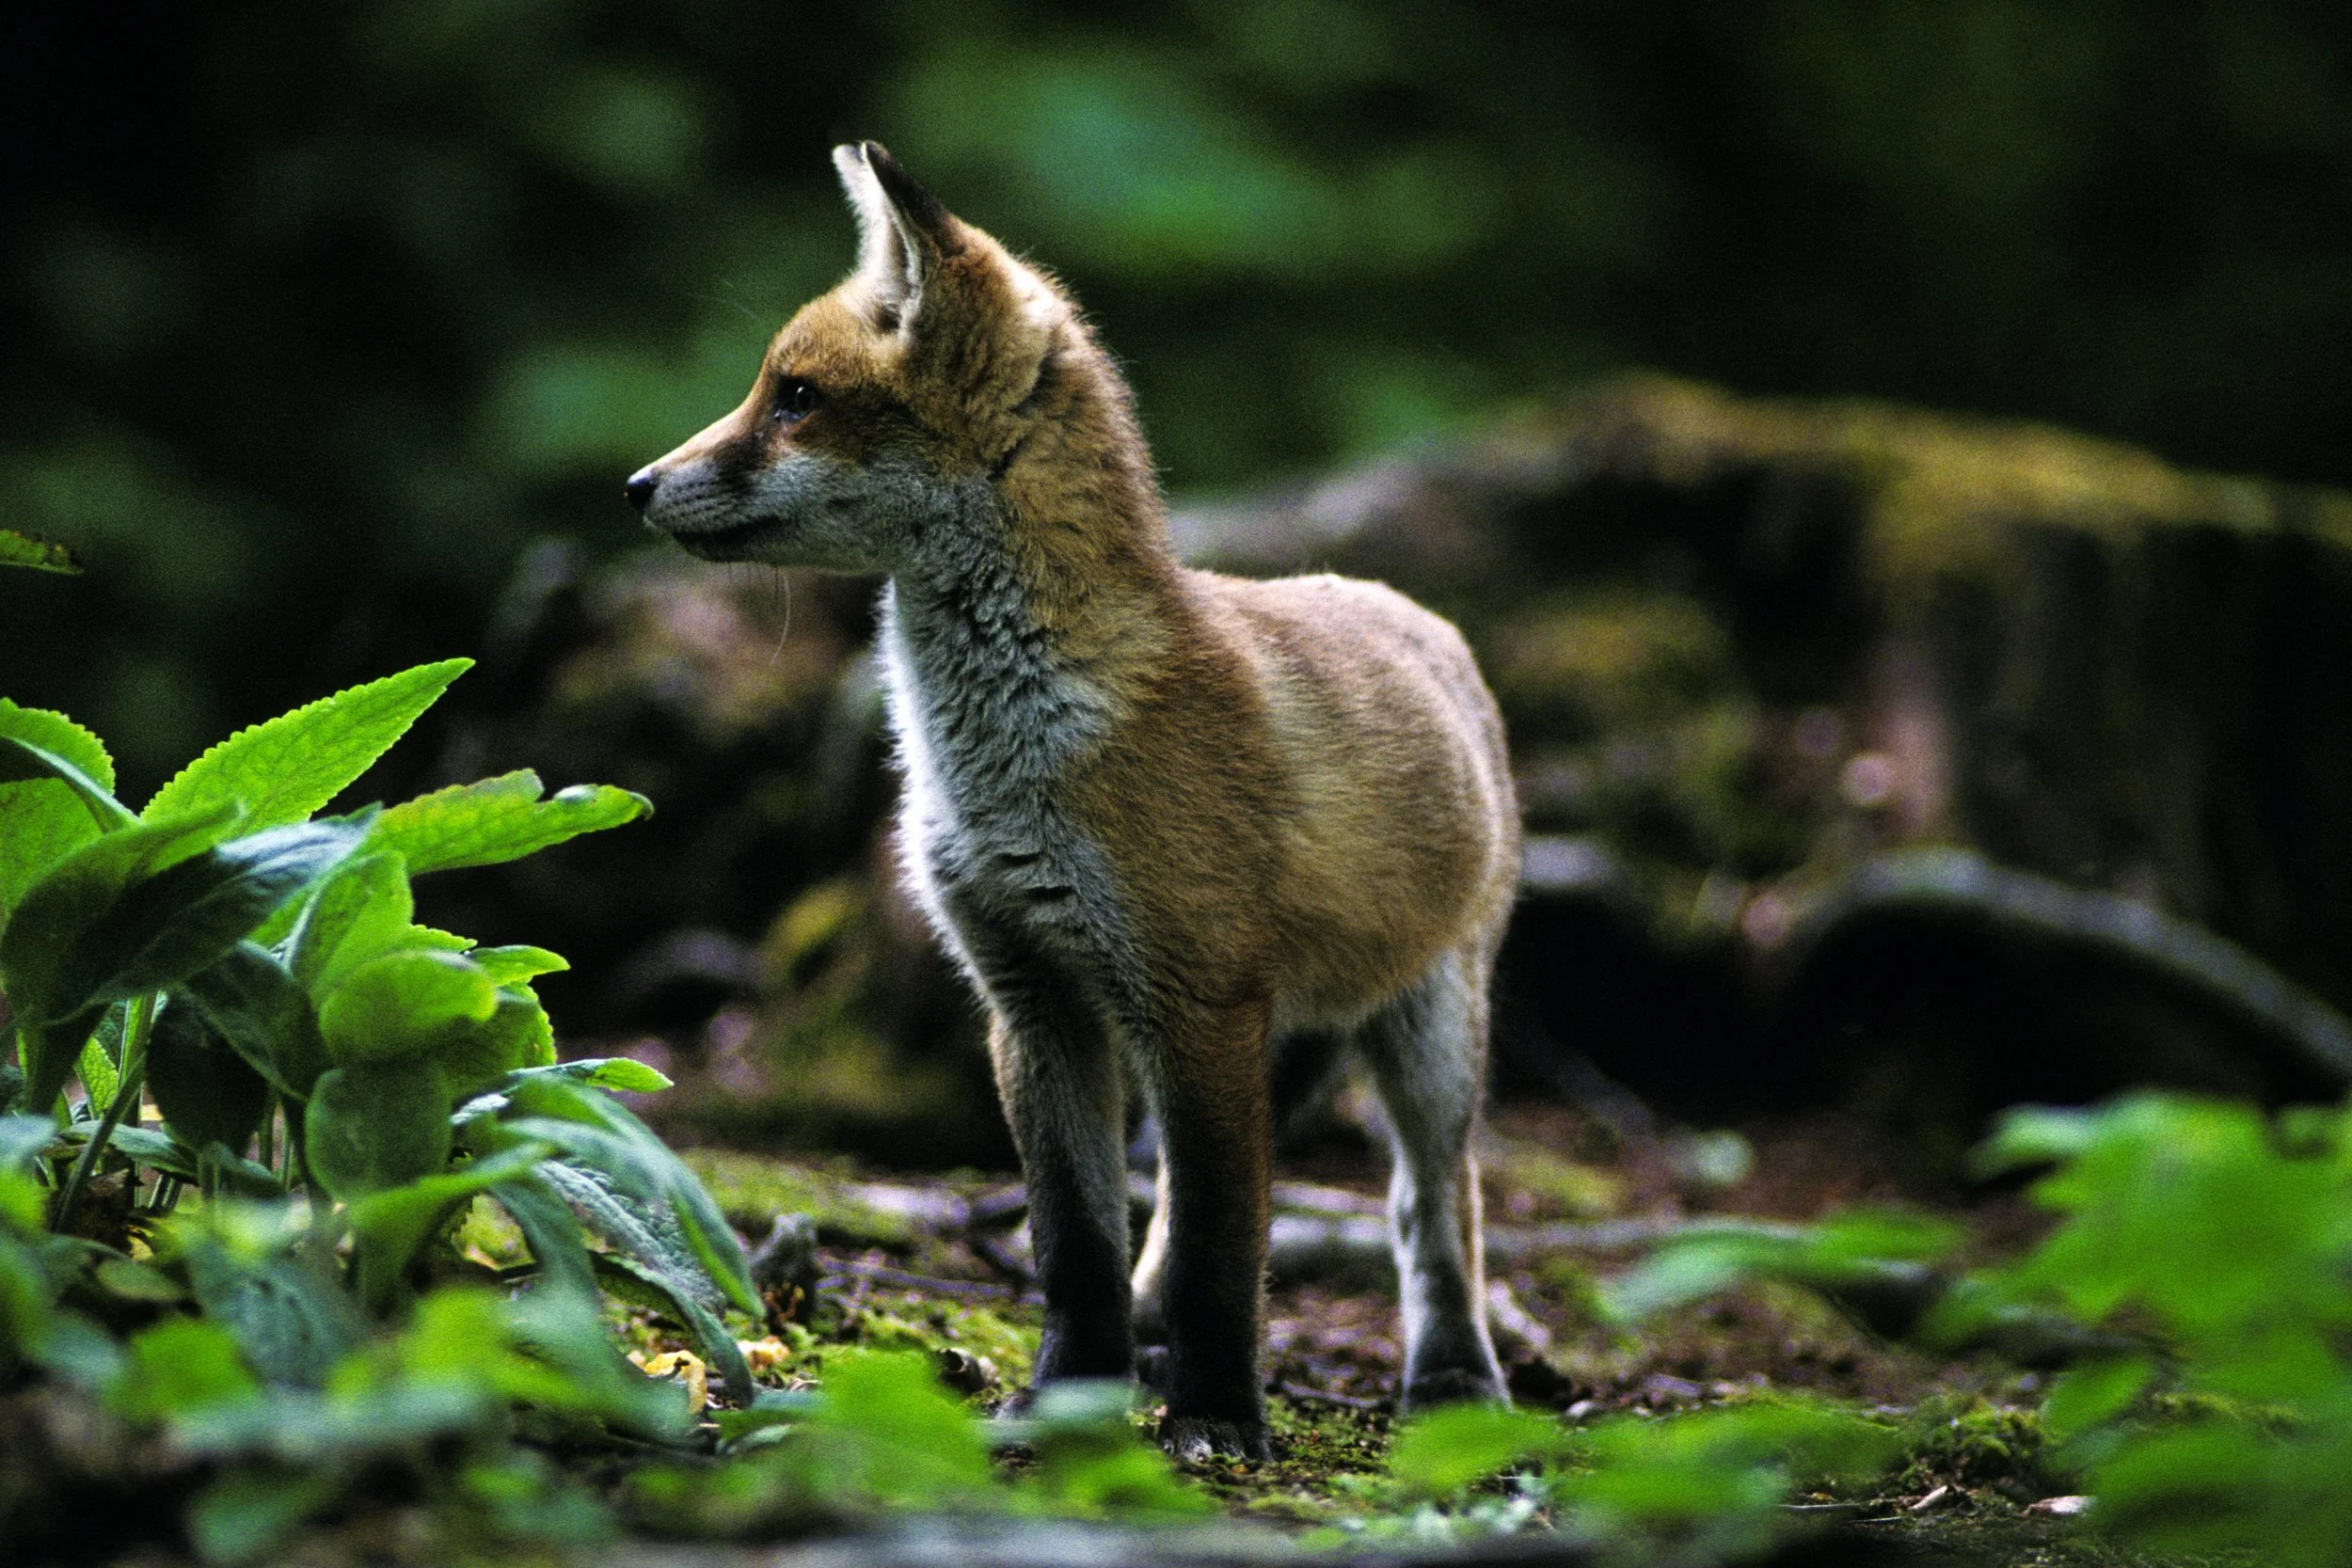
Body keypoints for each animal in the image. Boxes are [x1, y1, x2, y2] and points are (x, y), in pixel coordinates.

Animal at [626, 142, 1517, 1459]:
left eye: (793, 397)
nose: (637, 484)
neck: (1005, 760)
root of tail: (1418, 615)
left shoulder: (1194, 997)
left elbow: (1223, 1255)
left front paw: (1217, 1416)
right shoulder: (1030, 994)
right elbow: (1081, 1243)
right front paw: (1068, 1397)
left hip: (1426, 1030)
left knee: (1429, 1204)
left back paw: (1454, 1376)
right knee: (1188, 1214)